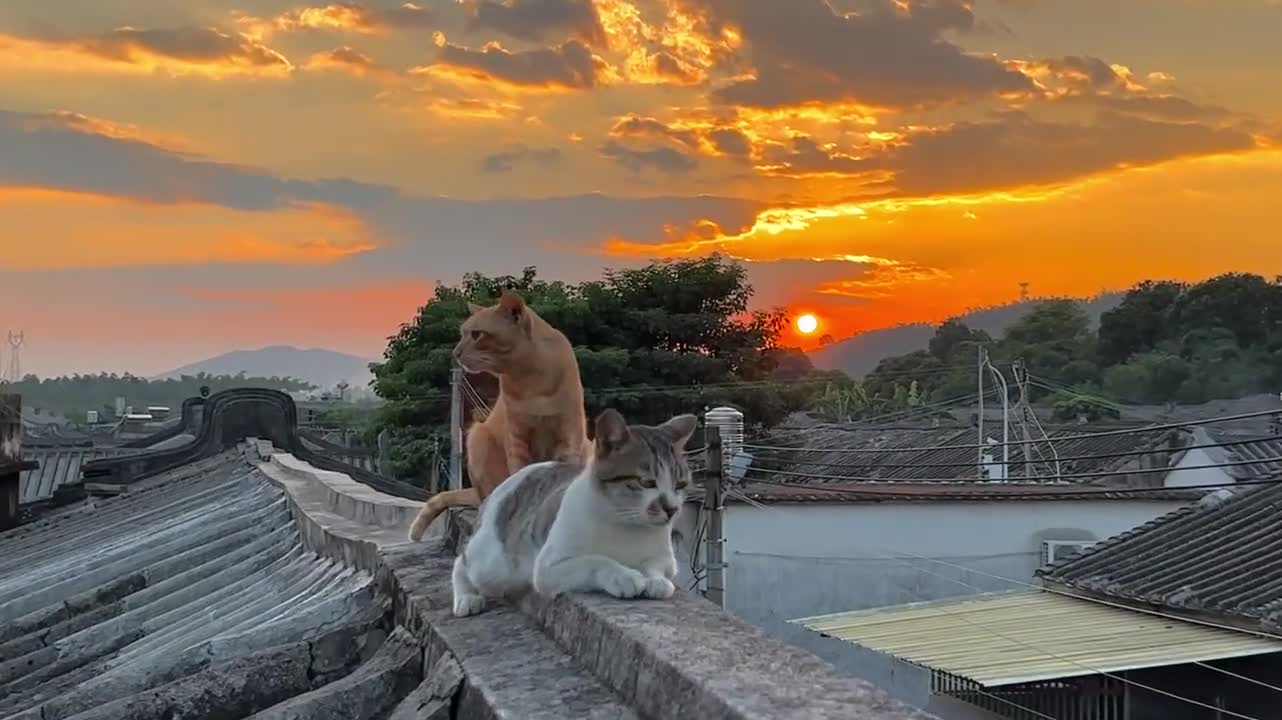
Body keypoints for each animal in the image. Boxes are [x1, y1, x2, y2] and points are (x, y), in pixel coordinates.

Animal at [407, 289, 592, 538]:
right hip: (478, 435)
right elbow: (522, 474)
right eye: (462, 334)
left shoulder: (569, 433)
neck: (532, 378)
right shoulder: (517, 436)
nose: (455, 353)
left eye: (476, 334)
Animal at [448, 407, 697, 614]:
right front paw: (624, 576)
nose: (672, 509)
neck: (626, 524)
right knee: (461, 562)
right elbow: (596, 560)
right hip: (493, 564)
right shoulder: (549, 567)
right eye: (647, 483)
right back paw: (467, 598)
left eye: (680, 485)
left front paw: (655, 581)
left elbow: (654, 566)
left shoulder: (666, 560)